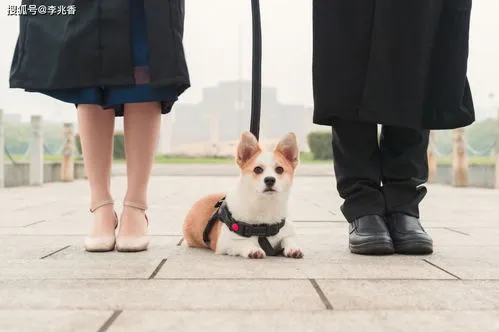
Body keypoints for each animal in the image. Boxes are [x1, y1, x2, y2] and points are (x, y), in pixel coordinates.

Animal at [183, 130, 302, 260]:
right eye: (257, 169)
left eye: (279, 169)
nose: (270, 179)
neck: (264, 205)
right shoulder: (225, 242)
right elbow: (244, 242)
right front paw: (254, 249)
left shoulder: (288, 232)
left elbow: (289, 239)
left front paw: (293, 248)